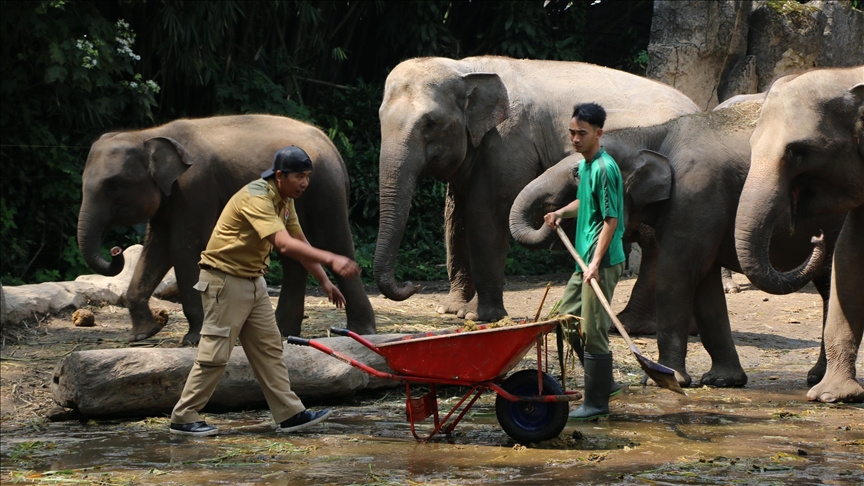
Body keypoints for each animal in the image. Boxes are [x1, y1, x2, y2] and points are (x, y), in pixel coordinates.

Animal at [78, 114, 376, 345]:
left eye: (112, 185)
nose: (115, 250)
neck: (148, 134)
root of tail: (332, 146)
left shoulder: (195, 187)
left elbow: (184, 246)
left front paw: (193, 339)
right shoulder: (169, 197)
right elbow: (158, 248)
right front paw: (141, 335)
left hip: (325, 189)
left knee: (334, 240)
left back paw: (362, 332)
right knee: (294, 253)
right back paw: (283, 331)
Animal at [374, 56, 699, 323]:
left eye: (430, 123)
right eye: (379, 118)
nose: (412, 284)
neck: (467, 68)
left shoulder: (508, 142)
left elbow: (486, 215)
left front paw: (477, 316)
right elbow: (455, 217)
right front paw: (450, 310)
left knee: (658, 243)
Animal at [510, 102, 845, 388]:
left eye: (575, 173)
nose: (550, 217)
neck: (653, 133)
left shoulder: (697, 194)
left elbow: (677, 275)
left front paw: (667, 378)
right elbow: (705, 286)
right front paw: (723, 381)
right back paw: (817, 378)